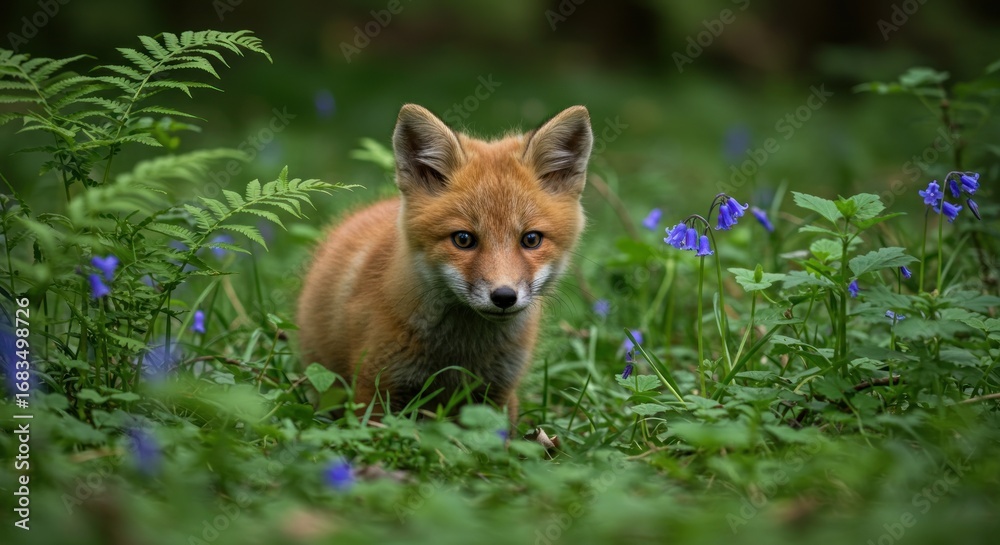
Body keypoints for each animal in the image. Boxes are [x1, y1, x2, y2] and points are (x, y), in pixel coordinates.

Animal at [296, 103, 593, 425]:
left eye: (531, 239)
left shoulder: (498, 390)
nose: (504, 297)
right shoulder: (375, 385)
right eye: (463, 239)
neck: (460, 354)